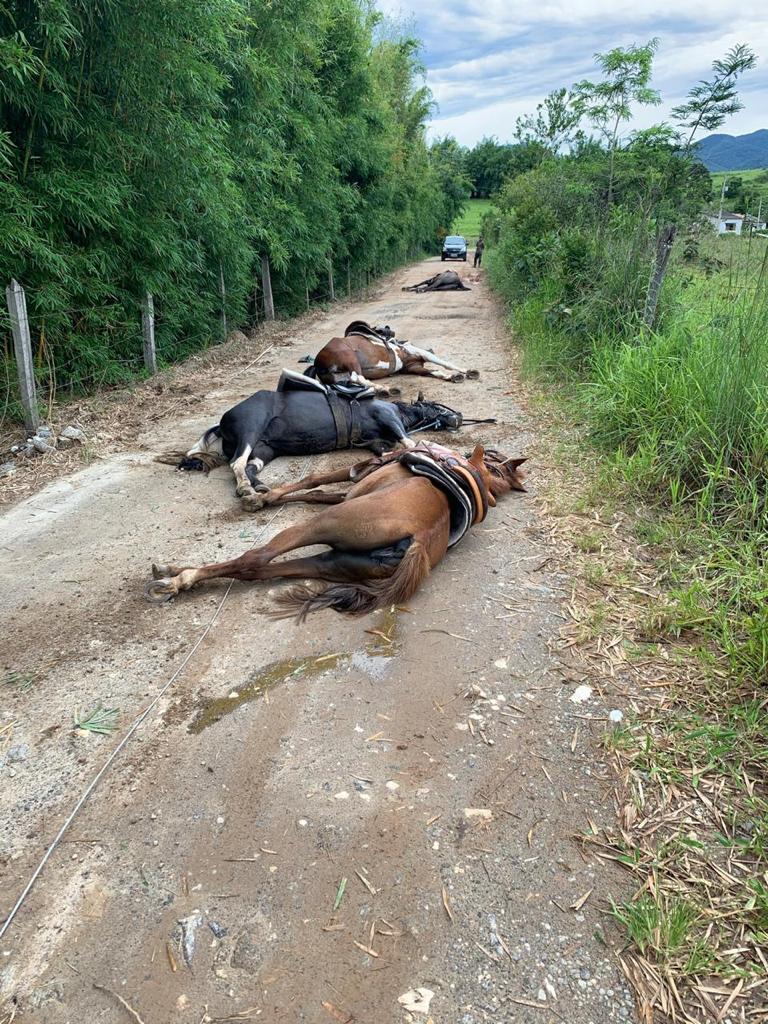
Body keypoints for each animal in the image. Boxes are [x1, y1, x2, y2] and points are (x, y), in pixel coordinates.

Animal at [145, 444, 528, 618]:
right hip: (331, 562)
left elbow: (314, 481)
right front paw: (265, 496)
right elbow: (315, 492)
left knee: (255, 558)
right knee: (256, 569)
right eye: (496, 461)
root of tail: (418, 543)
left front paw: (258, 497)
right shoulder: (350, 489)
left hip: (319, 526)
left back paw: (175, 578)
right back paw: (174, 575)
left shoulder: (351, 478)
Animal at [171, 374, 462, 509]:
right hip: (250, 430)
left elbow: (385, 449)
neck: (399, 410)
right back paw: (246, 489)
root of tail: (222, 422)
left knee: (251, 466)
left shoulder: (377, 443)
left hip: (266, 449)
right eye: (437, 406)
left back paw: (260, 487)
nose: (457, 417)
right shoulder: (389, 417)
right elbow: (408, 441)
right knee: (237, 464)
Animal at [309, 321, 481, 393]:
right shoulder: (422, 353)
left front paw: (451, 377)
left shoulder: (413, 367)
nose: (390, 330)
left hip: (340, 375)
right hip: (350, 358)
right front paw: (466, 371)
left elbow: (434, 372)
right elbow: (446, 363)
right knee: (357, 377)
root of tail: (318, 363)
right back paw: (383, 388)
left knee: (354, 380)